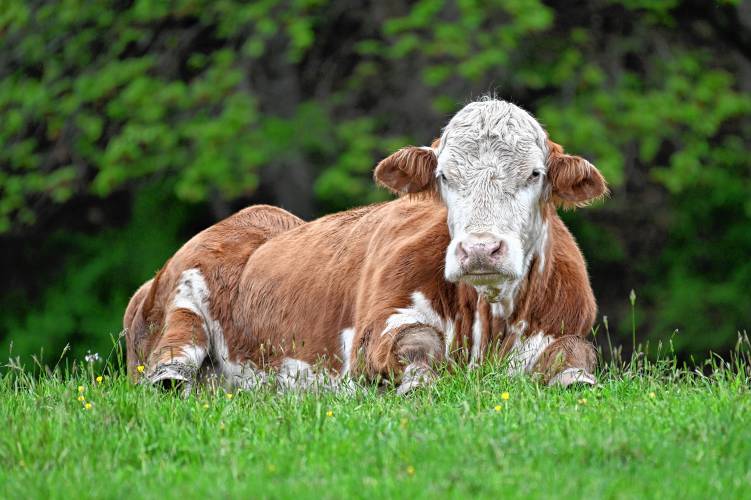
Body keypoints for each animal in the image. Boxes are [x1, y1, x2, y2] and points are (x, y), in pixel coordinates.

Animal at [123, 97, 604, 394]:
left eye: (534, 173)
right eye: (444, 176)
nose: (481, 250)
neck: (487, 323)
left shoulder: (568, 325)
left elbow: (578, 352)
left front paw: (575, 380)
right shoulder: (375, 329)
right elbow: (420, 342)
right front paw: (418, 383)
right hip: (183, 291)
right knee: (177, 348)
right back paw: (171, 375)